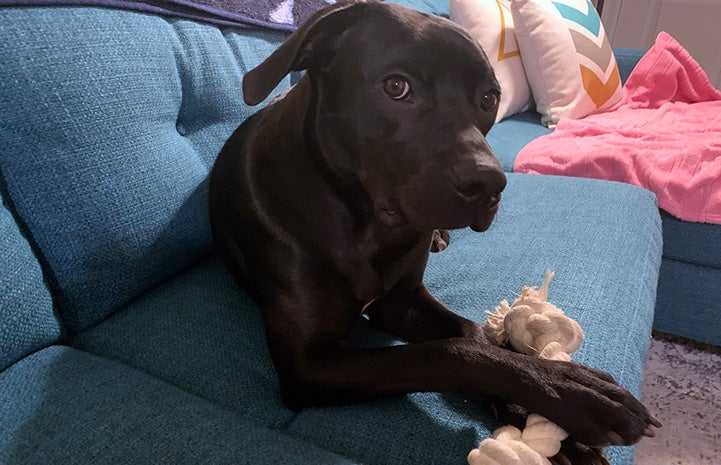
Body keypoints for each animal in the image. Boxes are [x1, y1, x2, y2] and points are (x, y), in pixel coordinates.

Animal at [208, 0, 660, 460]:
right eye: (396, 86)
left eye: (489, 98)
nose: (490, 184)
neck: (366, 223)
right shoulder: (307, 364)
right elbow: (447, 352)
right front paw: (571, 393)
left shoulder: (404, 300)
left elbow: (472, 334)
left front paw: (541, 406)